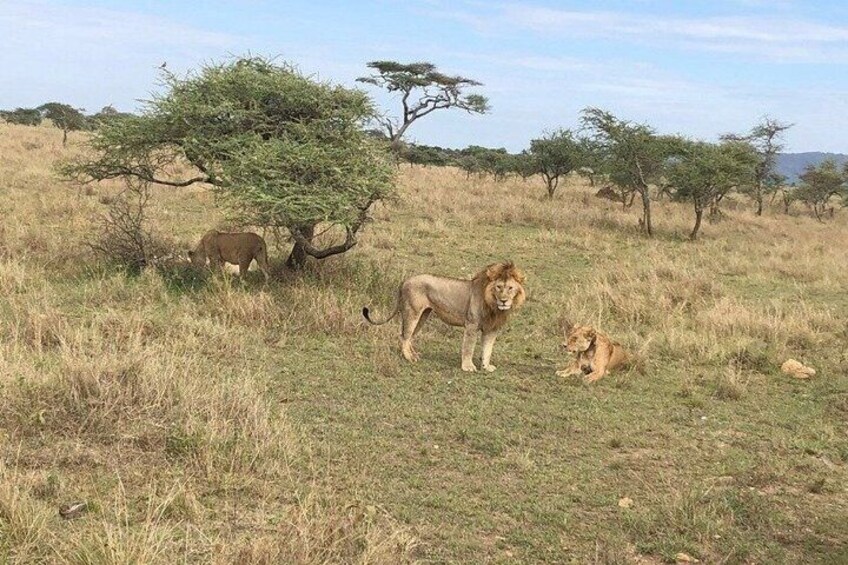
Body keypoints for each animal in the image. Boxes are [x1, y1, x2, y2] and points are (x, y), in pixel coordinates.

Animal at [363, 261, 526, 372]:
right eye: (499, 287)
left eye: (510, 288)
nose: (504, 301)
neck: (493, 305)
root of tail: (405, 281)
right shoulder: (471, 325)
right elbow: (469, 348)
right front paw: (468, 367)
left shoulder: (492, 329)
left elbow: (488, 349)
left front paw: (486, 367)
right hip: (413, 312)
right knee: (404, 336)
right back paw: (409, 358)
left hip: (423, 315)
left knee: (409, 337)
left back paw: (414, 354)